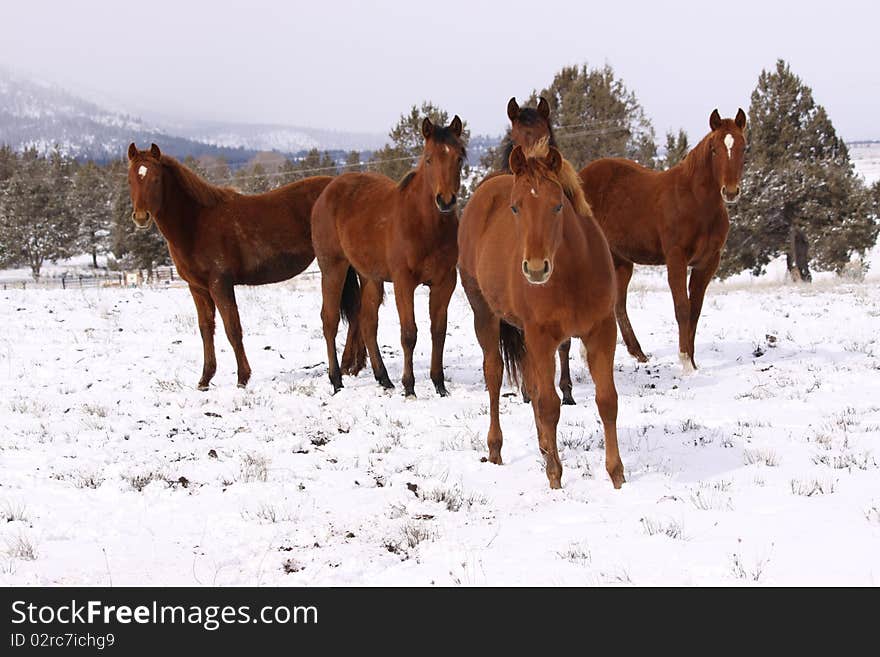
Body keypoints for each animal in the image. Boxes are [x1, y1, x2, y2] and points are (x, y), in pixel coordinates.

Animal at [125, 143, 360, 386]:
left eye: (155, 179)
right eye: (130, 180)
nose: (141, 217)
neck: (196, 223)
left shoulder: (220, 284)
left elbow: (232, 329)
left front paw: (242, 377)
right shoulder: (198, 288)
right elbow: (206, 329)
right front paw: (205, 379)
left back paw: (347, 365)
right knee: (356, 310)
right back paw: (354, 365)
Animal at [310, 115, 464, 398]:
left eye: (459, 157)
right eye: (428, 159)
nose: (446, 201)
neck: (425, 224)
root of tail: (327, 191)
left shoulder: (445, 282)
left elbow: (438, 331)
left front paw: (439, 384)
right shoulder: (404, 282)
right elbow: (409, 334)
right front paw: (409, 386)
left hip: (370, 277)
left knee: (368, 322)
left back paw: (383, 378)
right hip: (332, 269)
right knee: (330, 320)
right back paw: (336, 380)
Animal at [458, 141, 624, 490]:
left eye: (557, 206)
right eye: (515, 208)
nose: (535, 269)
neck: (573, 275)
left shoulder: (602, 331)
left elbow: (607, 401)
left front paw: (617, 476)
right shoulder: (542, 337)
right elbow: (549, 406)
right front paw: (555, 477)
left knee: (532, 386)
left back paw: (544, 446)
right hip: (485, 315)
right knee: (495, 375)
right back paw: (496, 448)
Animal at [580, 109, 744, 372]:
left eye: (743, 147)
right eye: (714, 149)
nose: (730, 191)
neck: (696, 202)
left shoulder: (707, 263)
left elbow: (695, 310)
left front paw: (693, 362)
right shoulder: (676, 257)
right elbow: (682, 308)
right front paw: (686, 362)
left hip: (620, 262)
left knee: (618, 304)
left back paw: (635, 353)